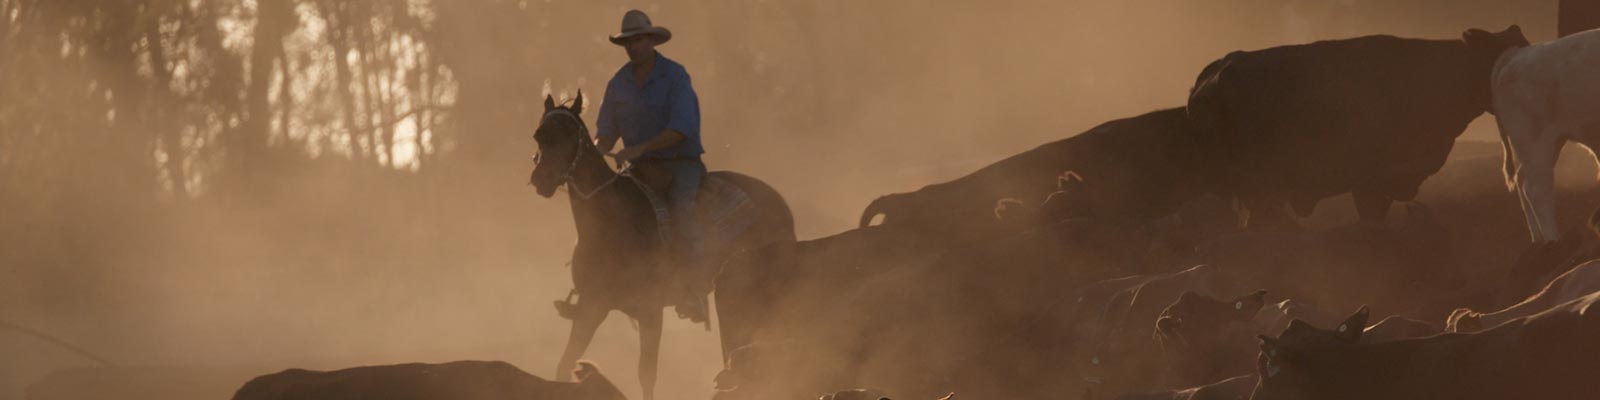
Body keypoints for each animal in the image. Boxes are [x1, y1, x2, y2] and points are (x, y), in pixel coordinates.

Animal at [528, 92, 796, 400]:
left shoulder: (650, 311)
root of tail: (777, 200)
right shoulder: (591, 306)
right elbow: (565, 363)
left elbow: (647, 376)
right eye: (539, 135)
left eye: (571, 136)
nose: (541, 179)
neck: (612, 224)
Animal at [1491, 29, 1600, 240]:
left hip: (1550, 143)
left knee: (1523, 181)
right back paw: (1553, 240)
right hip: (1535, 142)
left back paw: (1539, 241)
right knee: (1537, 190)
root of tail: (1518, 54)